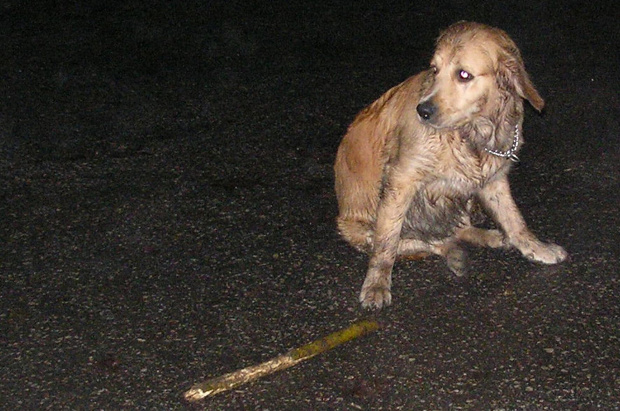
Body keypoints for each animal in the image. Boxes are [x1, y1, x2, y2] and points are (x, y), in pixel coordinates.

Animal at [334, 20, 568, 308]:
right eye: (434, 69)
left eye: (464, 75)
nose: (422, 111)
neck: (471, 132)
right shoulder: (401, 179)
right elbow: (386, 242)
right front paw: (377, 283)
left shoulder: (493, 179)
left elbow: (514, 220)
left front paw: (535, 248)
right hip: (357, 228)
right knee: (424, 242)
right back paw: (455, 251)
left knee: (455, 231)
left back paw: (487, 236)